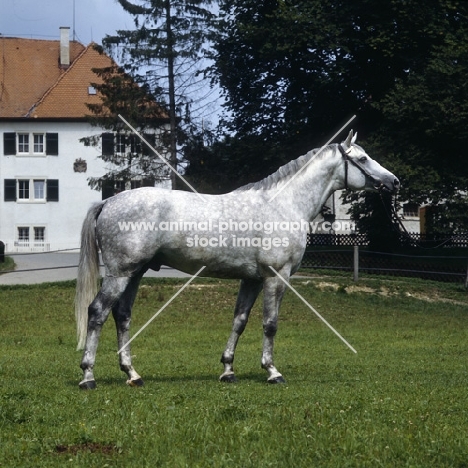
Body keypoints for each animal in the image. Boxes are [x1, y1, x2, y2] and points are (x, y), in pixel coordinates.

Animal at [76, 131, 398, 388]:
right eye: (363, 158)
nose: (393, 182)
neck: (283, 205)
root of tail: (109, 201)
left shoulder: (251, 280)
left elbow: (239, 321)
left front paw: (228, 370)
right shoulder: (276, 277)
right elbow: (270, 323)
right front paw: (272, 371)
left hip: (135, 273)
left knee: (122, 316)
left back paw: (132, 374)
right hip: (120, 273)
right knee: (97, 312)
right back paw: (88, 376)